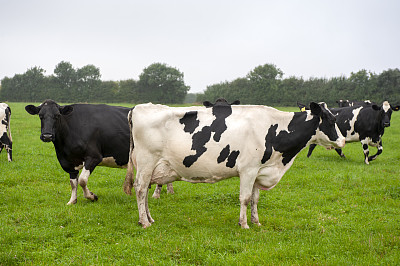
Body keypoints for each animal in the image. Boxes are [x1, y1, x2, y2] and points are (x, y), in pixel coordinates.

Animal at [127, 102, 344, 229]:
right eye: (332, 119)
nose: (342, 141)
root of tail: (138, 107)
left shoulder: (258, 171)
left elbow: (256, 199)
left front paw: (256, 221)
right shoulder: (248, 169)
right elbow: (245, 198)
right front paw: (244, 224)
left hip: (150, 166)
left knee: (144, 191)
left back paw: (147, 218)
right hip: (147, 161)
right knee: (140, 189)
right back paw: (145, 222)